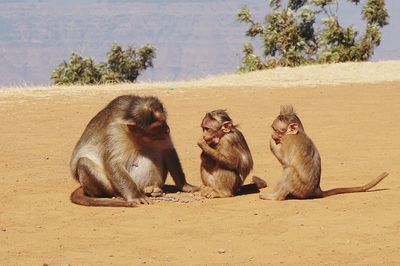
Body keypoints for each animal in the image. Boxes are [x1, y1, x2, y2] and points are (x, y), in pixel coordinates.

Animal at [260, 105, 388, 201]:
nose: (273, 135)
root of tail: (316, 190)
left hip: (300, 188)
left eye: (276, 130)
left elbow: (284, 160)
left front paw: (271, 141)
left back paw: (275, 197)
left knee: (289, 169)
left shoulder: (288, 140)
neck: (297, 132)